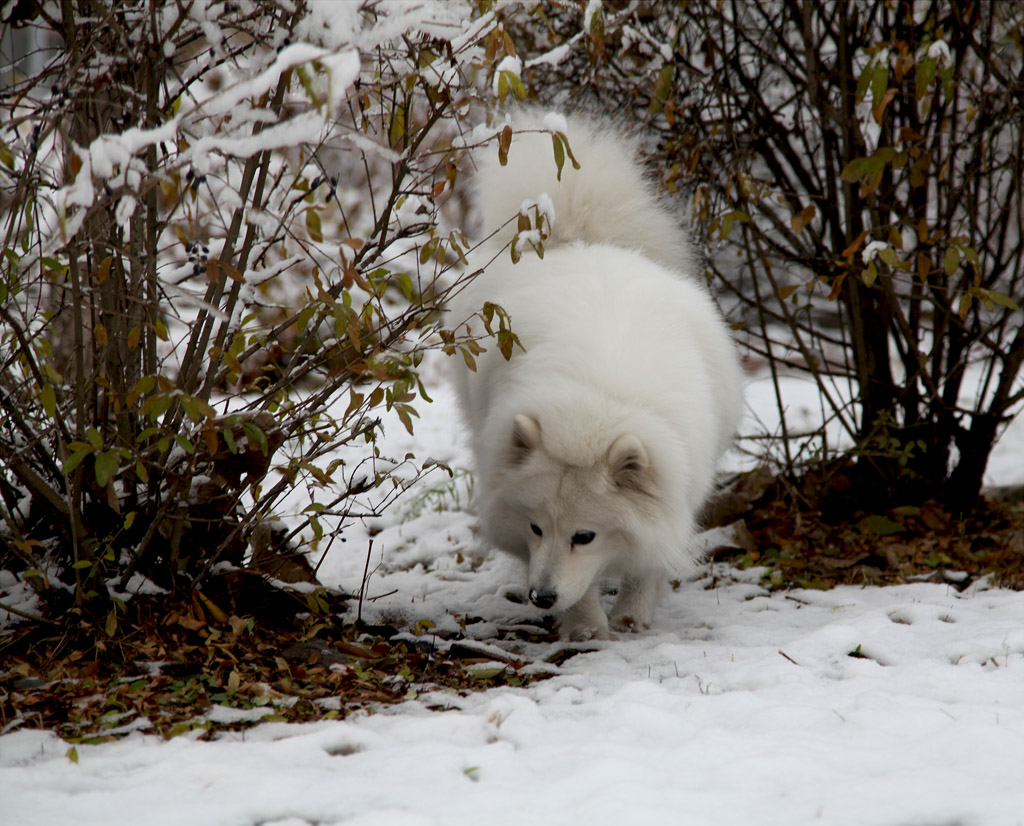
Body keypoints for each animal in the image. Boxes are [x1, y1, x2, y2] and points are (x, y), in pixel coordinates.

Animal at [450, 111, 745, 638]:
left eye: (584, 536)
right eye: (536, 528)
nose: (541, 597)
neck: (593, 410)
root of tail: (577, 236)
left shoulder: (674, 487)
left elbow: (650, 556)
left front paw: (631, 615)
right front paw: (585, 626)